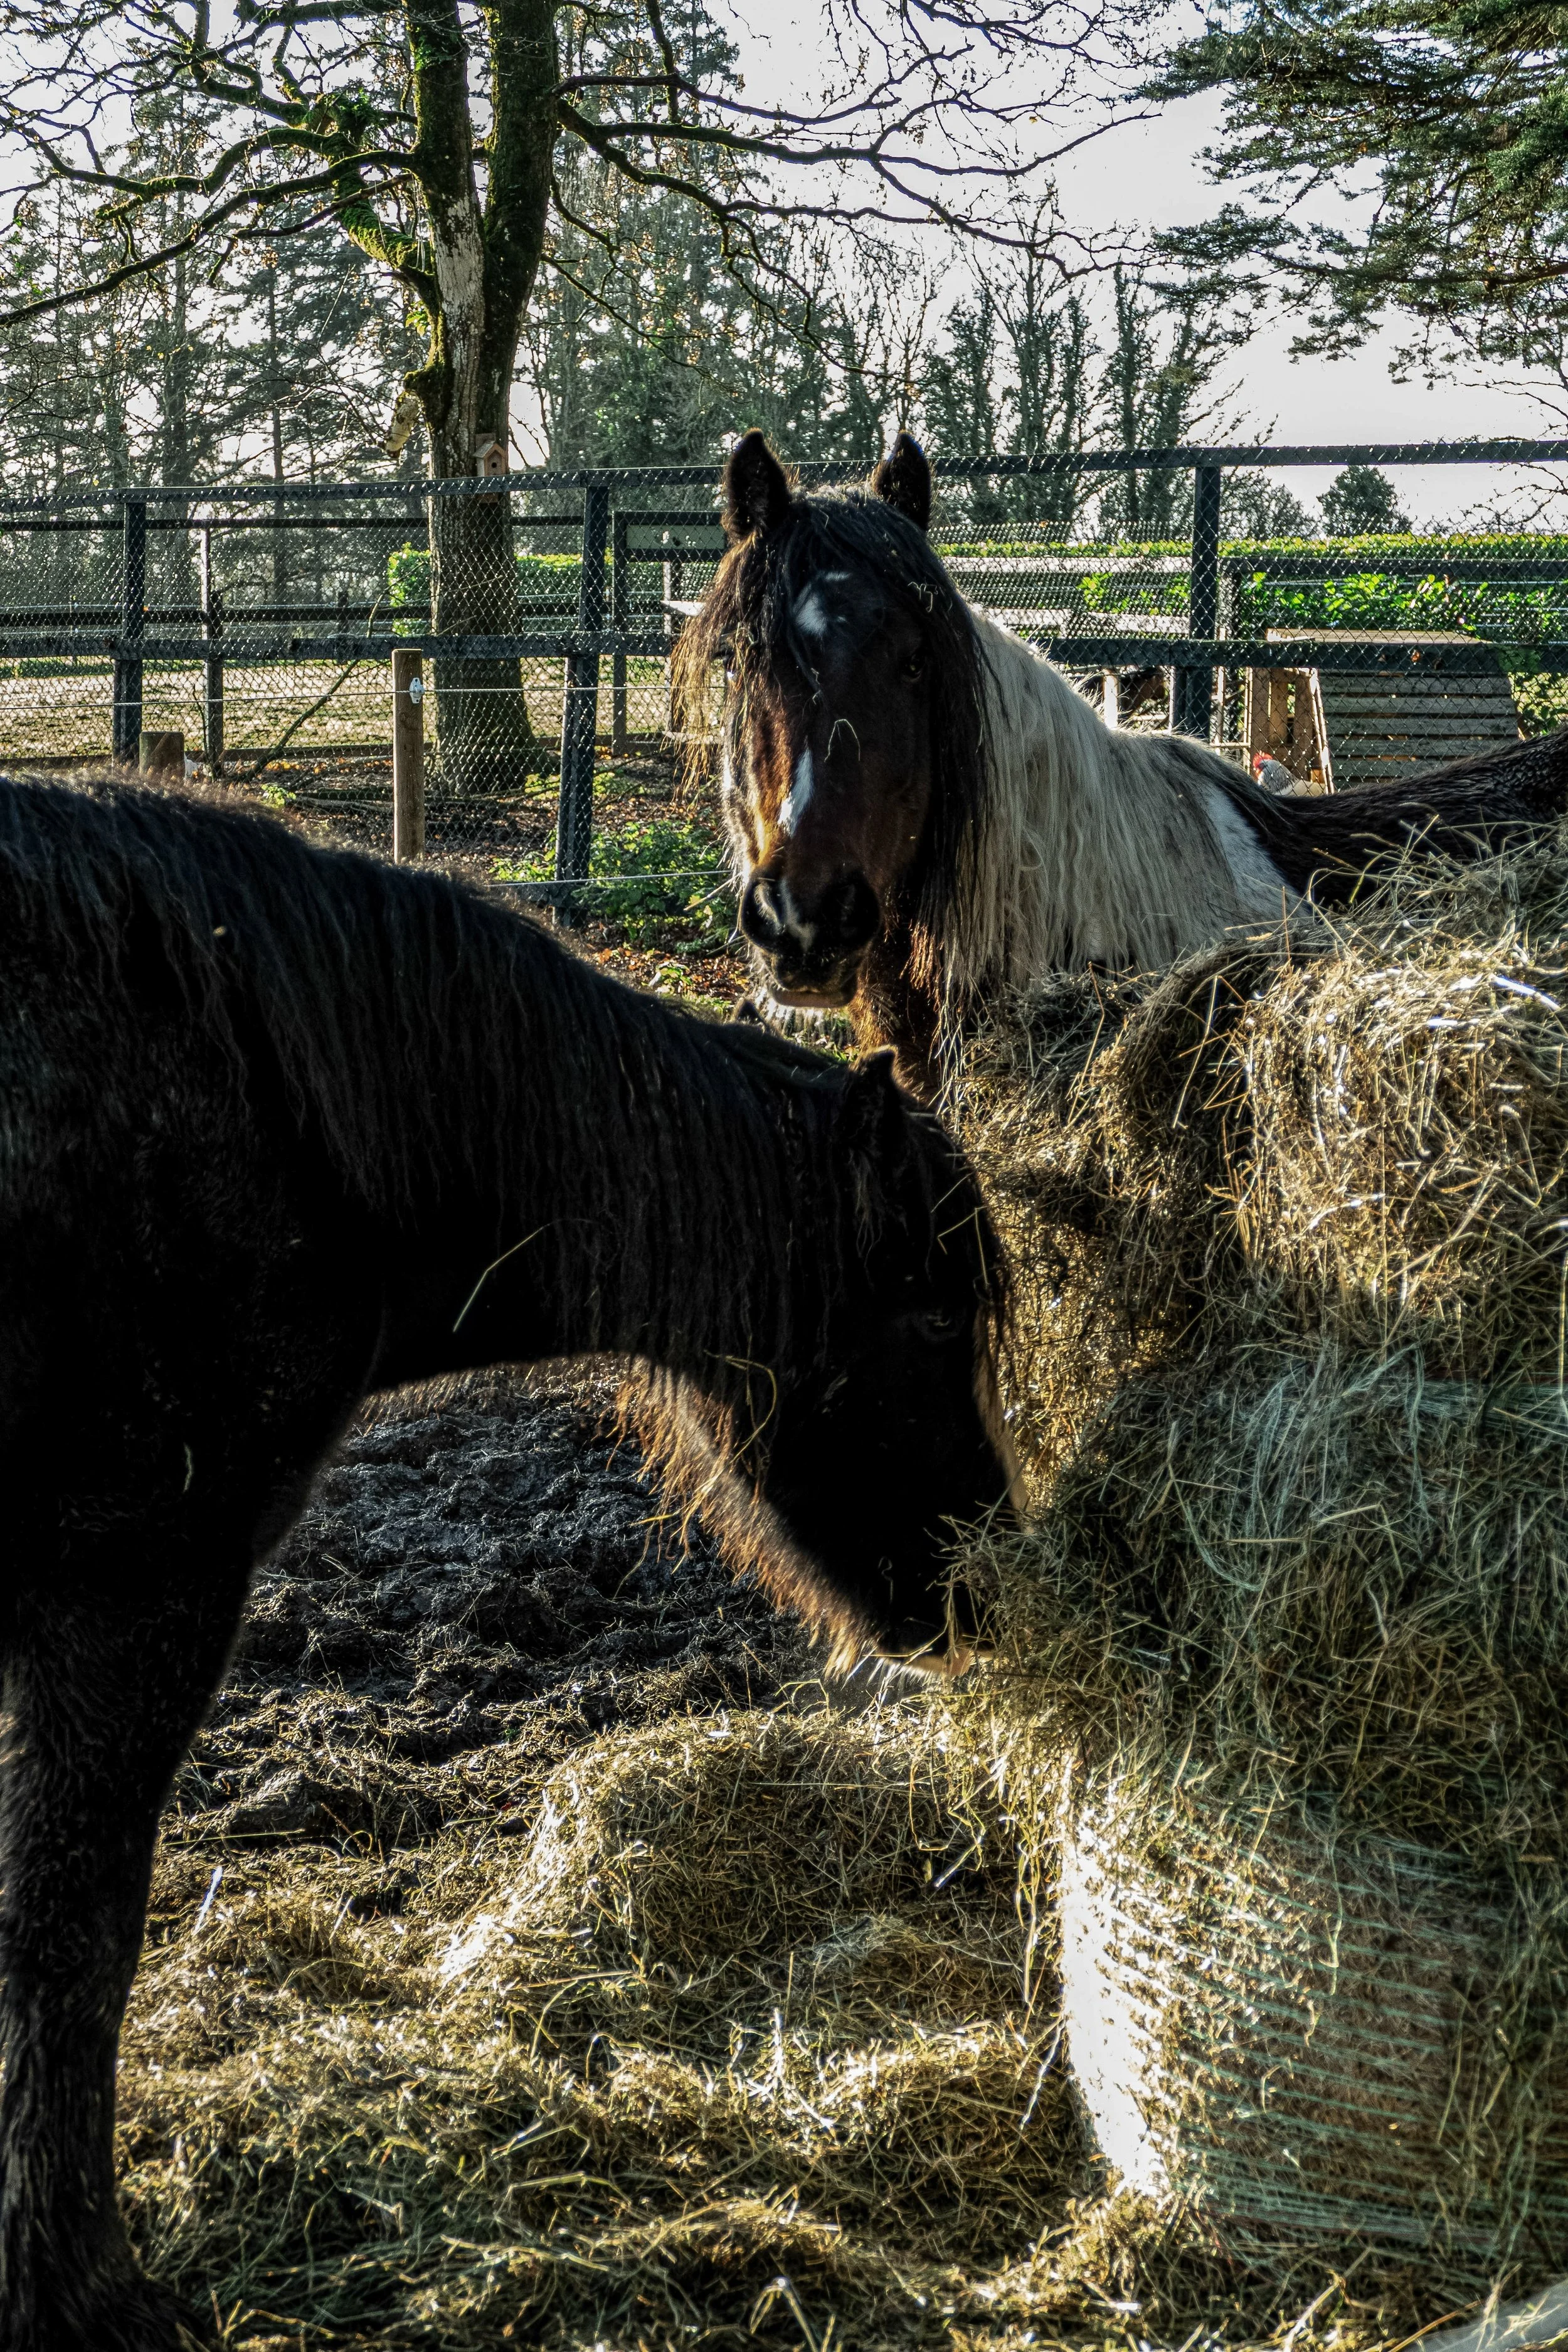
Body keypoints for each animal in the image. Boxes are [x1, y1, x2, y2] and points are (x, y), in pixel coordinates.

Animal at [0, 772, 1015, 2352]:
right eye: (923, 1317)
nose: (971, 1583)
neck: (264, 1118)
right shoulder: (134, 1591)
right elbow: (74, 1936)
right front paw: (80, 2288)